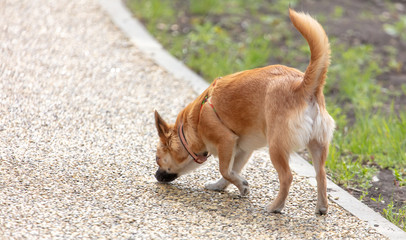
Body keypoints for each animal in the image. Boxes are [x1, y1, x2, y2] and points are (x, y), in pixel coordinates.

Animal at [154, 8, 334, 214]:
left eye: (158, 159)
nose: (155, 175)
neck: (196, 121)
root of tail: (302, 86)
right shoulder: (242, 149)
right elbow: (232, 171)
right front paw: (224, 186)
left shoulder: (226, 141)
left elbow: (225, 169)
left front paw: (241, 186)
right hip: (317, 145)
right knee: (321, 175)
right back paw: (321, 207)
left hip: (276, 147)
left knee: (287, 177)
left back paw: (275, 206)